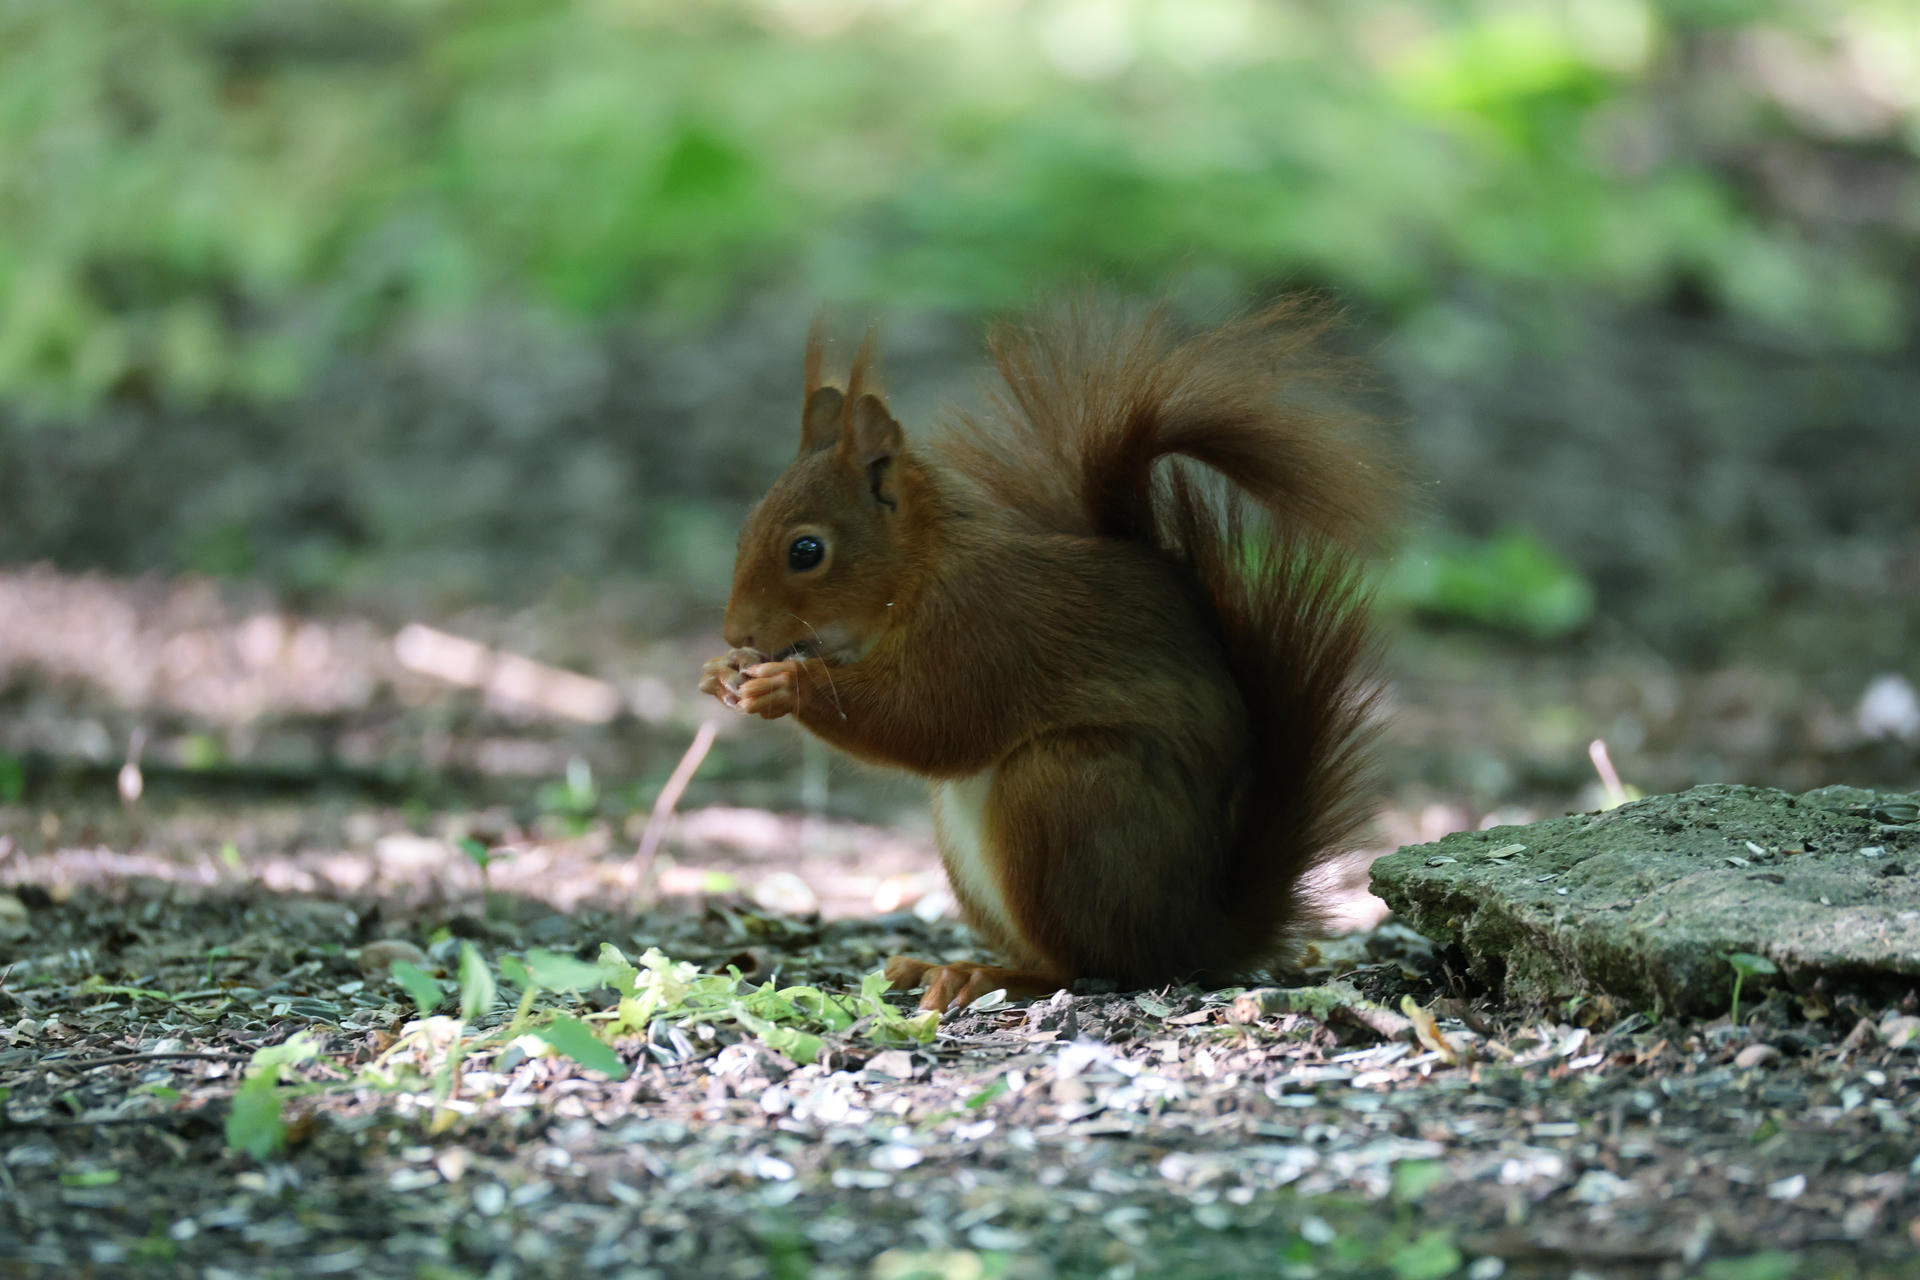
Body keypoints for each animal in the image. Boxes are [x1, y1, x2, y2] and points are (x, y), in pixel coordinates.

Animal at [698, 298, 1399, 1011]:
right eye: (744, 529)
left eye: (806, 551)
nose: (734, 634)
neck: (924, 561)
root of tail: (1198, 933)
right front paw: (722, 674)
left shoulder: (984, 626)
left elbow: (928, 721)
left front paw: (787, 686)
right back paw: (932, 965)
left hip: (1066, 793)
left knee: (1090, 963)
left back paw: (987, 976)